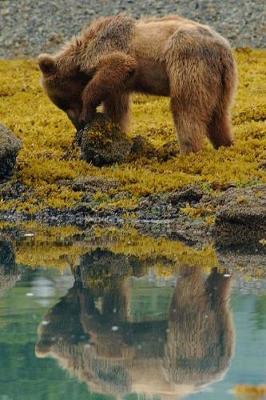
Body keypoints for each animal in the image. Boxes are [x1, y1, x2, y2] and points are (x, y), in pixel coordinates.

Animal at [37, 15, 237, 153]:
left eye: (67, 104)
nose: (78, 125)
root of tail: (222, 49)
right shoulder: (119, 86)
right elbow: (117, 107)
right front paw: (115, 131)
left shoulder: (108, 47)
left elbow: (120, 63)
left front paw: (88, 112)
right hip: (222, 81)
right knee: (218, 114)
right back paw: (225, 144)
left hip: (188, 61)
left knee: (186, 107)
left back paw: (188, 150)